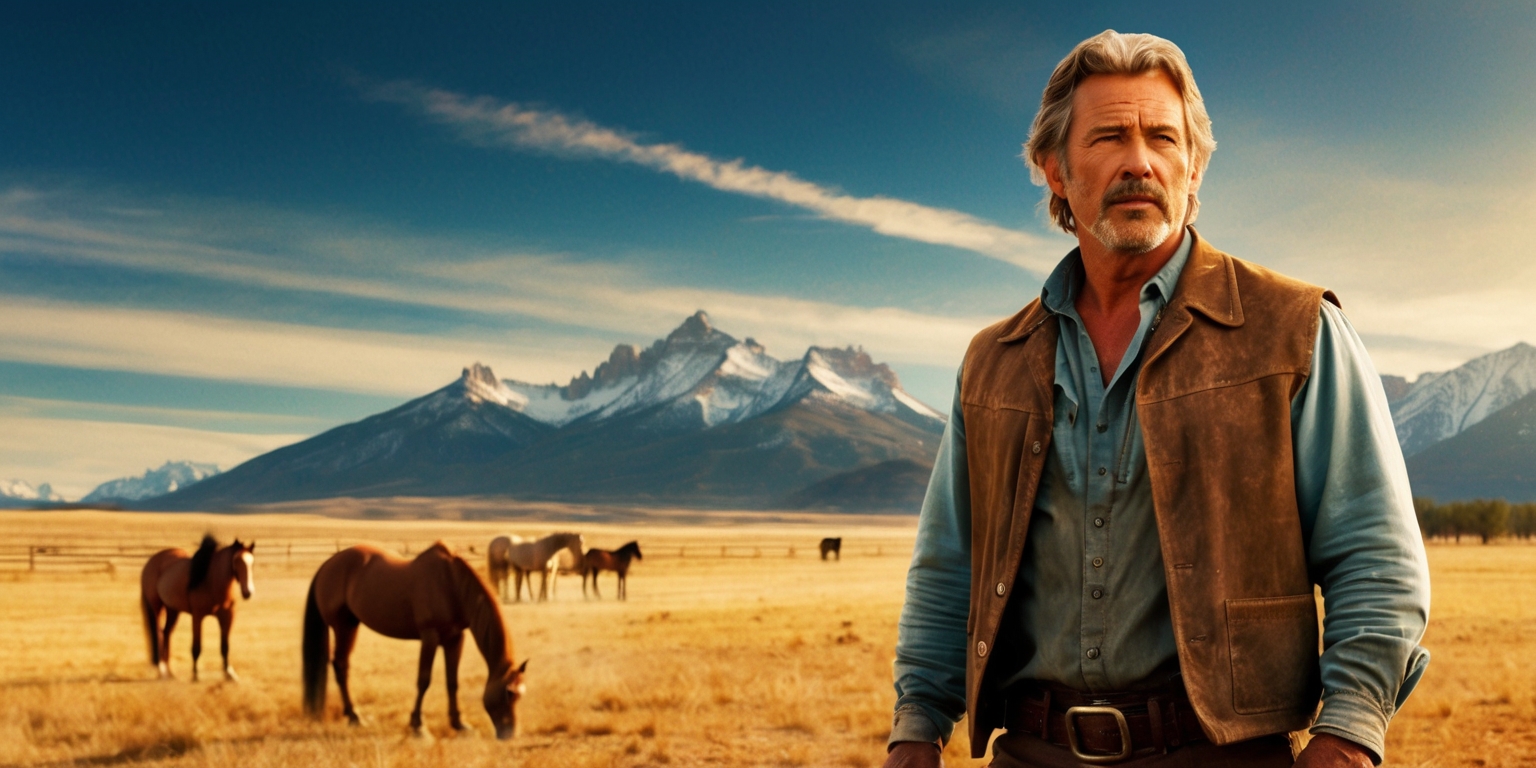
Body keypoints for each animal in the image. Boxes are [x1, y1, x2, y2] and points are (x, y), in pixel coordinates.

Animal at [141, 537, 258, 681]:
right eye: (236, 561)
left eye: (252, 562)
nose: (248, 592)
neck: (212, 582)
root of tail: (150, 562)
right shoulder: (198, 616)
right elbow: (196, 647)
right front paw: (196, 675)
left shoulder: (227, 617)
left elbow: (225, 647)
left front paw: (229, 674)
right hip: (157, 609)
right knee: (158, 634)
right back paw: (162, 670)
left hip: (172, 610)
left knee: (166, 633)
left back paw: (170, 672)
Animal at [299, 540, 528, 737]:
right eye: (508, 693)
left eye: (520, 693)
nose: (510, 733)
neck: (451, 585)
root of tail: (328, 565)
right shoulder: (430, 636)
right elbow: (423, 680)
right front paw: (418, 725)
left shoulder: (455, 638)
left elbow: (452, 682)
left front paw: (459, 723)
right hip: (342, 626)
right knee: (340, 665)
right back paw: (354, 716)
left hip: (351, 625)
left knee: (342, 665)